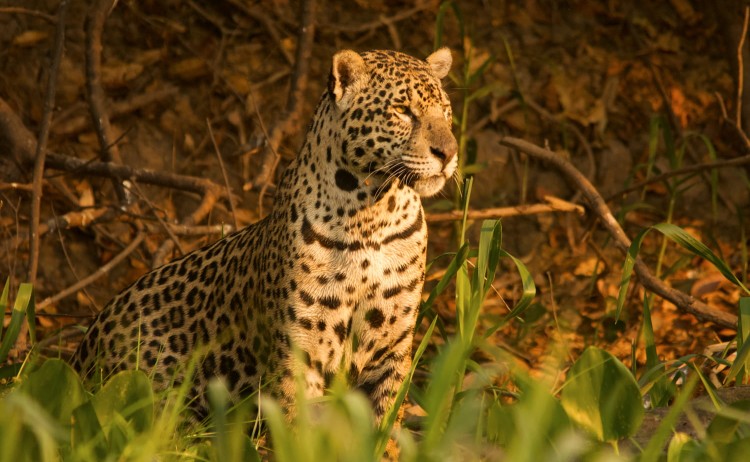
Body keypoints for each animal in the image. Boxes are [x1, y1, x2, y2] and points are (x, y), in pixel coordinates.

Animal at [71, 47, 457, 457]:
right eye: (403, 111)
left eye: (446, 111)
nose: (449, 152)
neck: (372, 216)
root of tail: (82, 349)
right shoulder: (299, 351)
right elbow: (297, 432)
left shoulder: (392, 348)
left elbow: (385, 429)